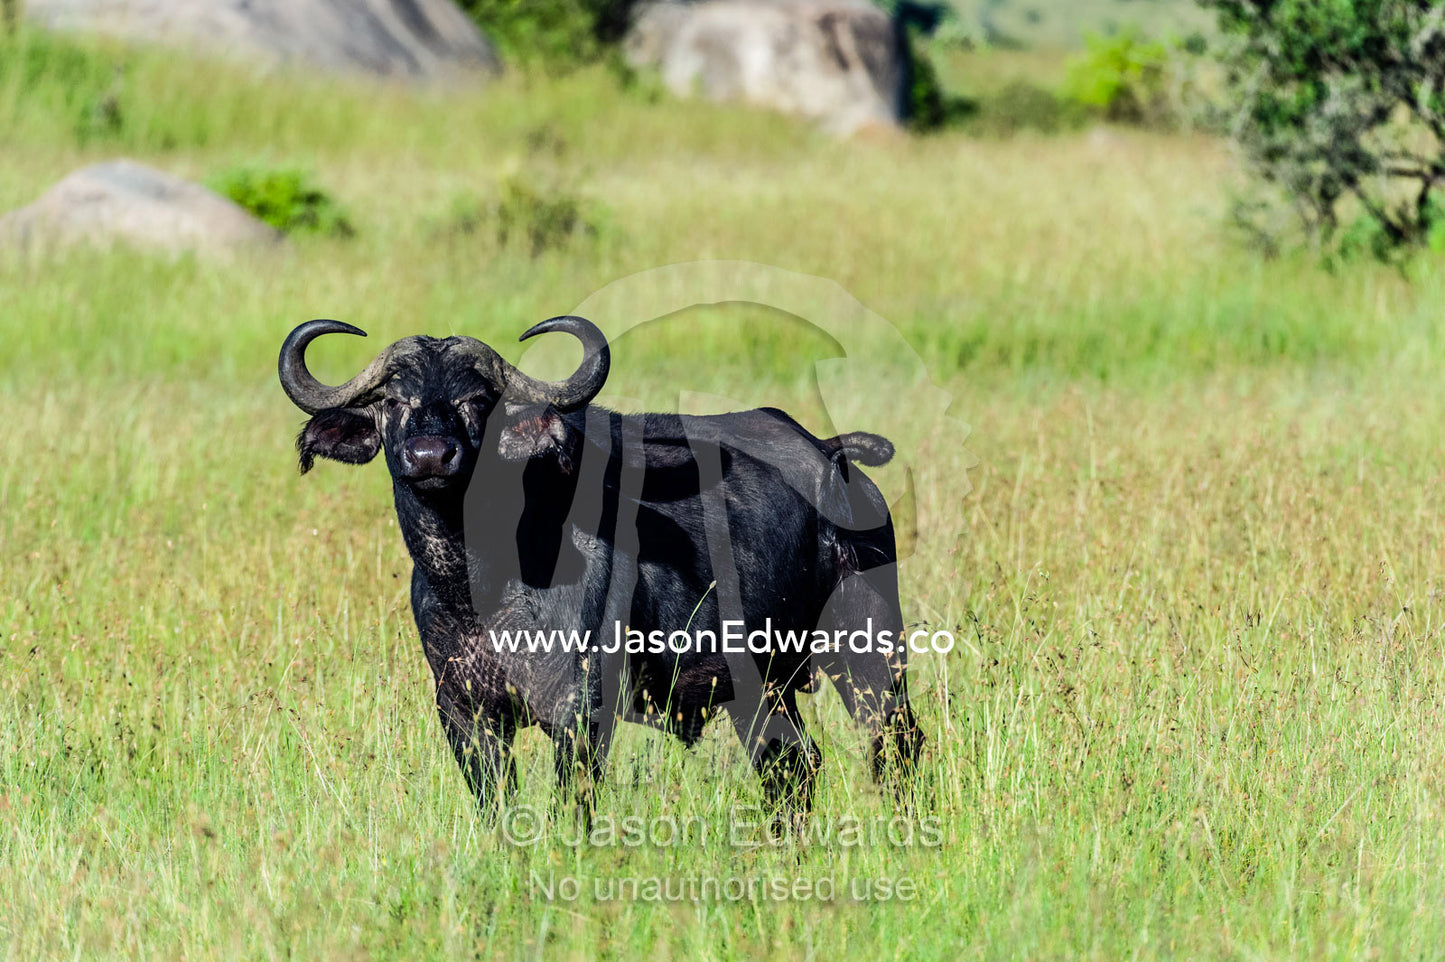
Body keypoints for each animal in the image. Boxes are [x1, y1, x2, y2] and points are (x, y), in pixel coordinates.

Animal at [279, 315, 923, 820]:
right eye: (393, 402)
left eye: (477, 402)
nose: (431, 457)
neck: (478, 580)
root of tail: (832, 456)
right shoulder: (464, 712)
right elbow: (496, 807)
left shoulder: (581, 709)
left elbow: (573, 803)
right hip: (761, 685)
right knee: (791, 765)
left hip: (868, 650)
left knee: (895, 744)